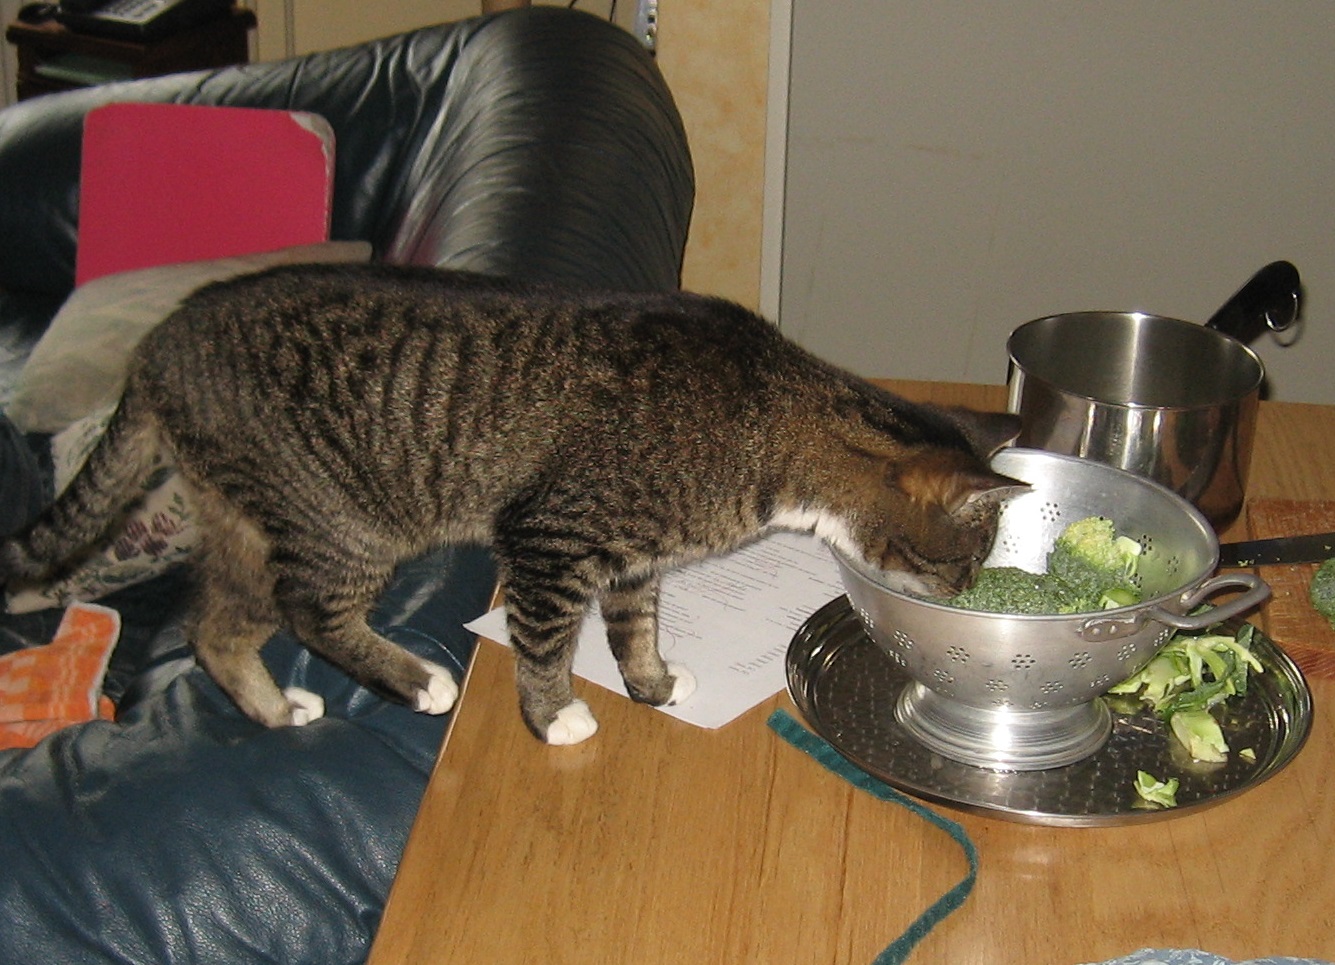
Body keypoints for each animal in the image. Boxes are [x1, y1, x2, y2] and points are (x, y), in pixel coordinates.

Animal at [2, 264, 1019, 747]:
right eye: (964, 560)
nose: (970, 595)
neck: (771, 419)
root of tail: (158, 342)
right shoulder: (548, 539)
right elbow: (542, 643)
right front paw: (553, 716)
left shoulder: (633, 561)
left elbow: (633, 628)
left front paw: (653, 684)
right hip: (343, 519)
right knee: (309, 609)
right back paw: (416, 678)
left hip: (249, 522)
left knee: (213, 626)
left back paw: (271, 708)